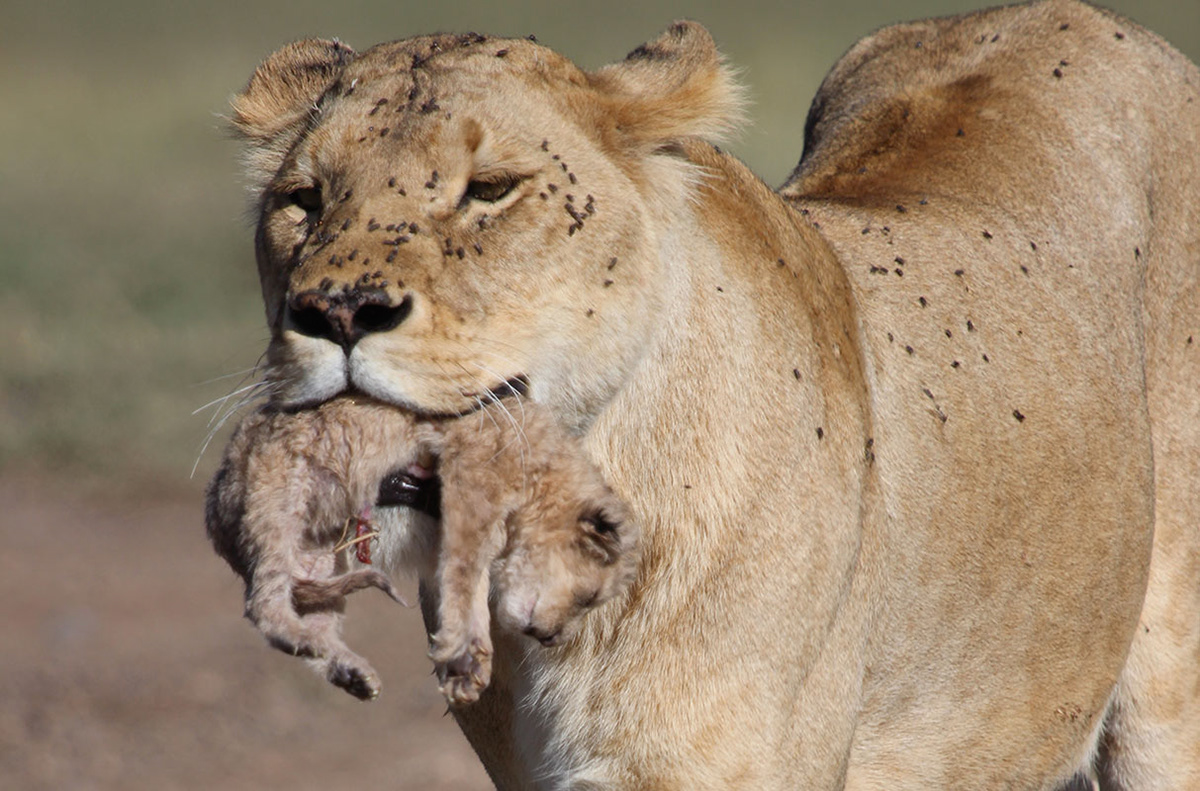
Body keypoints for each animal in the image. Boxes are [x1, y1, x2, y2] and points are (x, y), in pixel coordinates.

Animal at [205, 396, 637, 705]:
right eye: (589, 597)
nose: (551, 640)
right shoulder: (469, 485)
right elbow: (463, 574)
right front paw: (463, 655)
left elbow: (470, 586)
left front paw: (464, 664)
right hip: (280, 505)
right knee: (264, 607)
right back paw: (305, 639)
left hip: (318, 557)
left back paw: (350, 671)